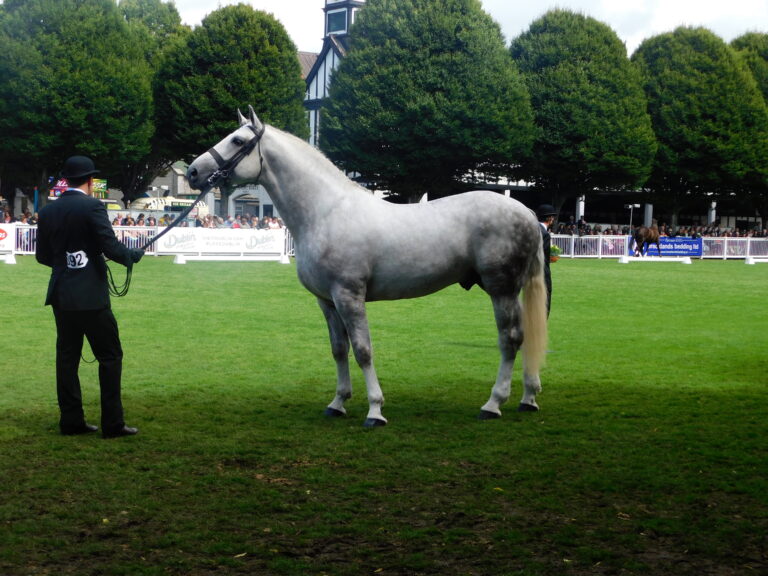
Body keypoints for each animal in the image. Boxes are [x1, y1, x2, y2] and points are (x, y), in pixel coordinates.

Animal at [186, 107, 548, 427]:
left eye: (237, 140)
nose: (192, 172)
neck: (326, 211)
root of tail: (528, 213)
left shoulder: (349, 296)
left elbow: (362, 350)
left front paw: (375, 410)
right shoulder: (327, 301)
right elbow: (339, 350)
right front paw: (337, 403)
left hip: (501, 289)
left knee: (510, 339)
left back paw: (493, 404)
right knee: (525, 337)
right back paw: (528, 398)